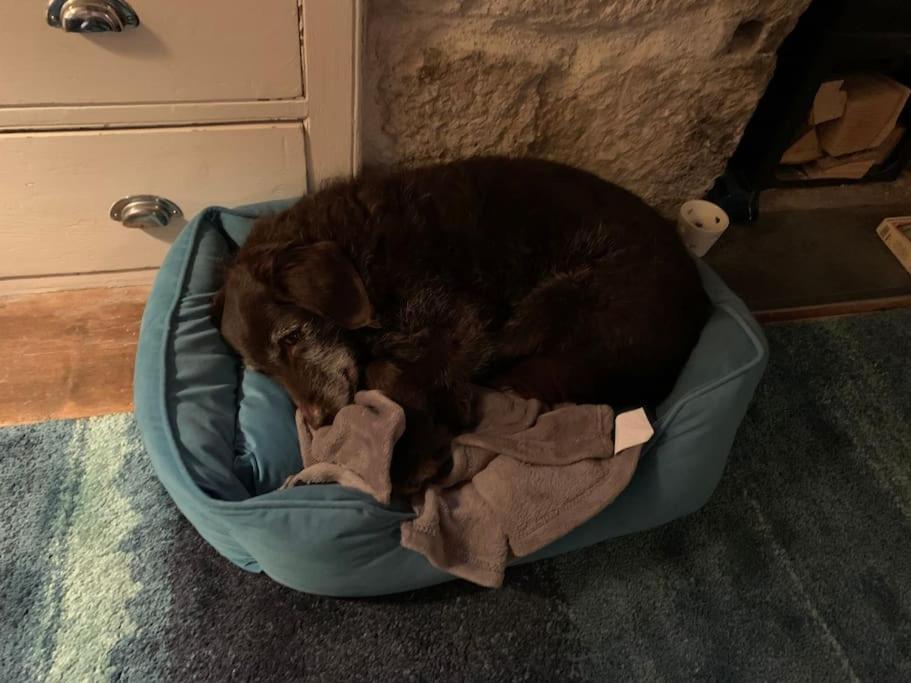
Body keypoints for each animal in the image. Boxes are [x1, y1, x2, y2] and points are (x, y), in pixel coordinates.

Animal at [213, 157, 711, 490]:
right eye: (263, 371)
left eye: (292, 336)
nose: (317, 420)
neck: (357, 250)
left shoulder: (457, 323)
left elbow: (389, 371)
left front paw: (413, 457)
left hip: (553, 304)